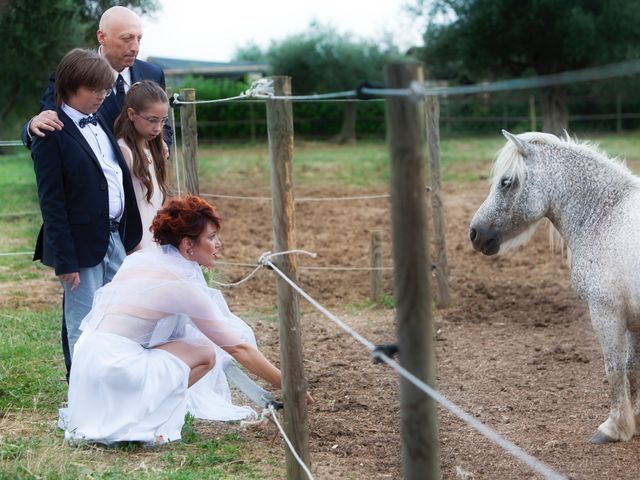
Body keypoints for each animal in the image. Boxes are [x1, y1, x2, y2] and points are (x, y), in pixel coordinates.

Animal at [470, 130, 640, 442]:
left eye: (506, 182)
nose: (475, 234)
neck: (607, 216)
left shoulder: (606, 313)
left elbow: (614, 368)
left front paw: (614, 428)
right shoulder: (634, 321)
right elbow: (633, 368)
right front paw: (634, 420)